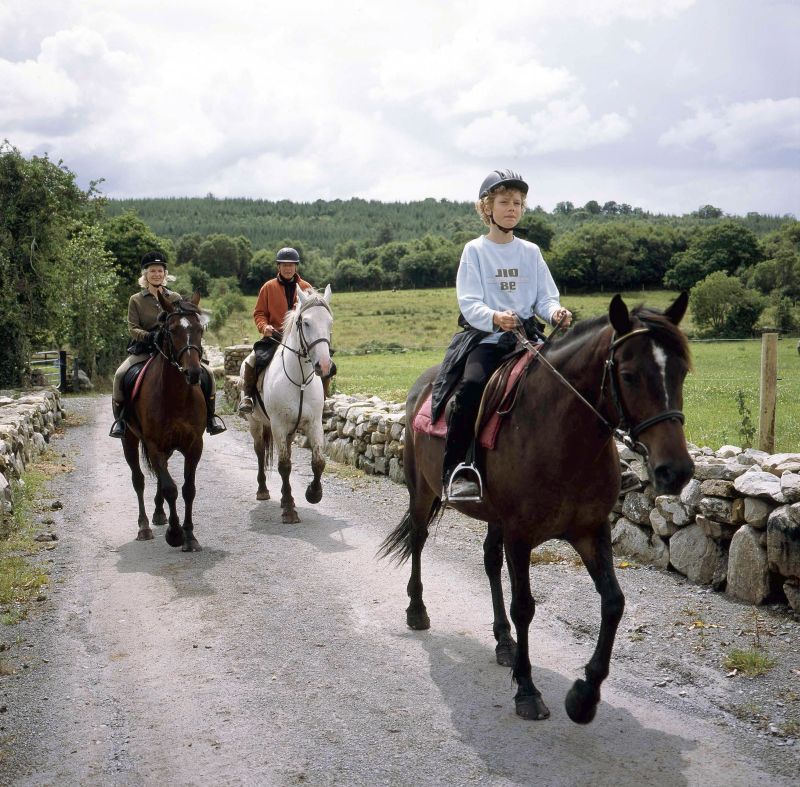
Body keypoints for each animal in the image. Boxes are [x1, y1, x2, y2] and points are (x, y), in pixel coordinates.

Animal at [241, 284, 334, 524]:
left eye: (329, 322)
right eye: (306, 323)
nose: (324, 365)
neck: (299, 380)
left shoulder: (314, 424)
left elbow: (318, 462)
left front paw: (313, 494)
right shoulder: (278, 426)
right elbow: (283, 465)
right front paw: (290, 510)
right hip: (256, 424)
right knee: (260, 452)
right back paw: (263, 490)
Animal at [382, 294, 692, 728]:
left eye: (681, 372)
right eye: (629, 375)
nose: (675, 471)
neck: (563, 436)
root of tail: (420, 389)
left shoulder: (590, 530)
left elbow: (613, 602)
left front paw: (583, 696)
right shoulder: (520, 535)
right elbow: (525, 606)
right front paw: (527, 691)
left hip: (493, 516)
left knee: (489, 560)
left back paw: (503, 642)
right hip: (423, 492)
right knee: (418, 539)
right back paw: (417, 610)